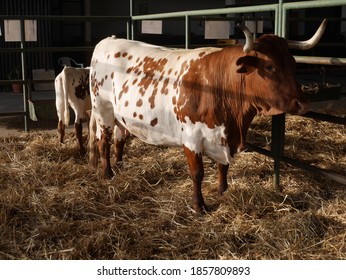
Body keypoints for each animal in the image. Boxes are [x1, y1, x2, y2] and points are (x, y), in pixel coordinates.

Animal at [88, 19, 326, 212]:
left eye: (293, 63)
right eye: (269, 66)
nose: (303, 103)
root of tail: (108, 40)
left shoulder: (224, 136)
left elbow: (223, 165)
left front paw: (223, 189)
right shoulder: (191, 138)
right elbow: (197, 173)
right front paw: (198, 205)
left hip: (120, 115)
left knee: (120, 137)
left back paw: (120, 164)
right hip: (103, 110)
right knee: (104, 140)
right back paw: (107, 172)